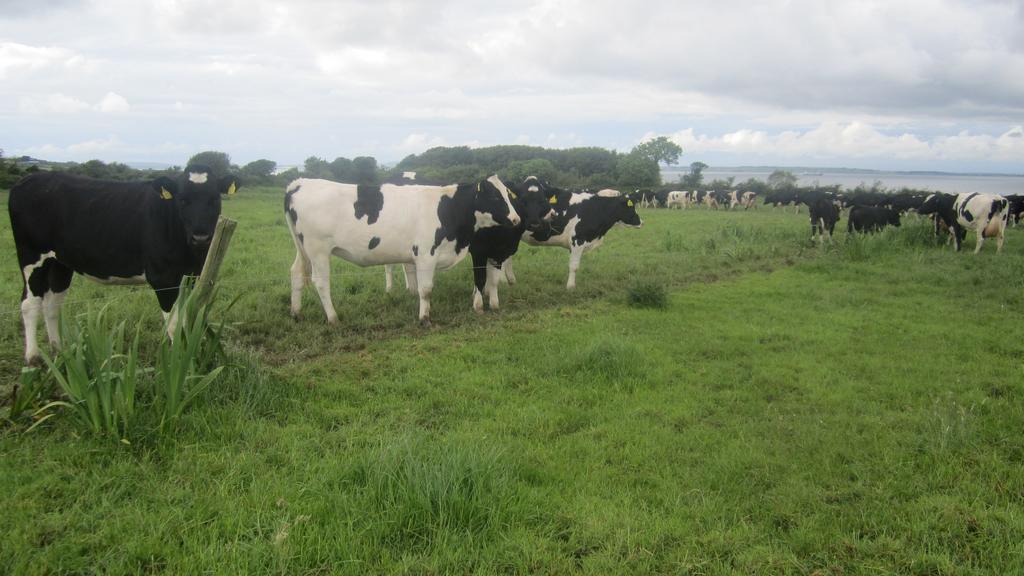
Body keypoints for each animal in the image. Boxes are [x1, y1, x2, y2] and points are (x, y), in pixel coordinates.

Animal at [8, 163, 239, 360]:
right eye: (182, 200)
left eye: (215, 199)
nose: (201, 237)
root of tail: (28, 179)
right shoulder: (163, 278)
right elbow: (174, 324)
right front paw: (180, 363)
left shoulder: (191, 275)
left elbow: (188, 319)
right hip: (31, 256)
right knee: (30, 303)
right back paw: (33, 357)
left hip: (60, 263)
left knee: (52, 304)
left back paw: (59, 351)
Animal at [286, 172, 520, 323]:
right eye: (495, 196)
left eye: (509, 195)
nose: (516, 219)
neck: (447, 208)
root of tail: (299, 183)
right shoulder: (426, 254)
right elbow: (426, 289)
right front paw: (424, 318)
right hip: (318, 251)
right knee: (321, 283)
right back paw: (333, 318)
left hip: (303, 249)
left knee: (296, 273)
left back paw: (296, 313)